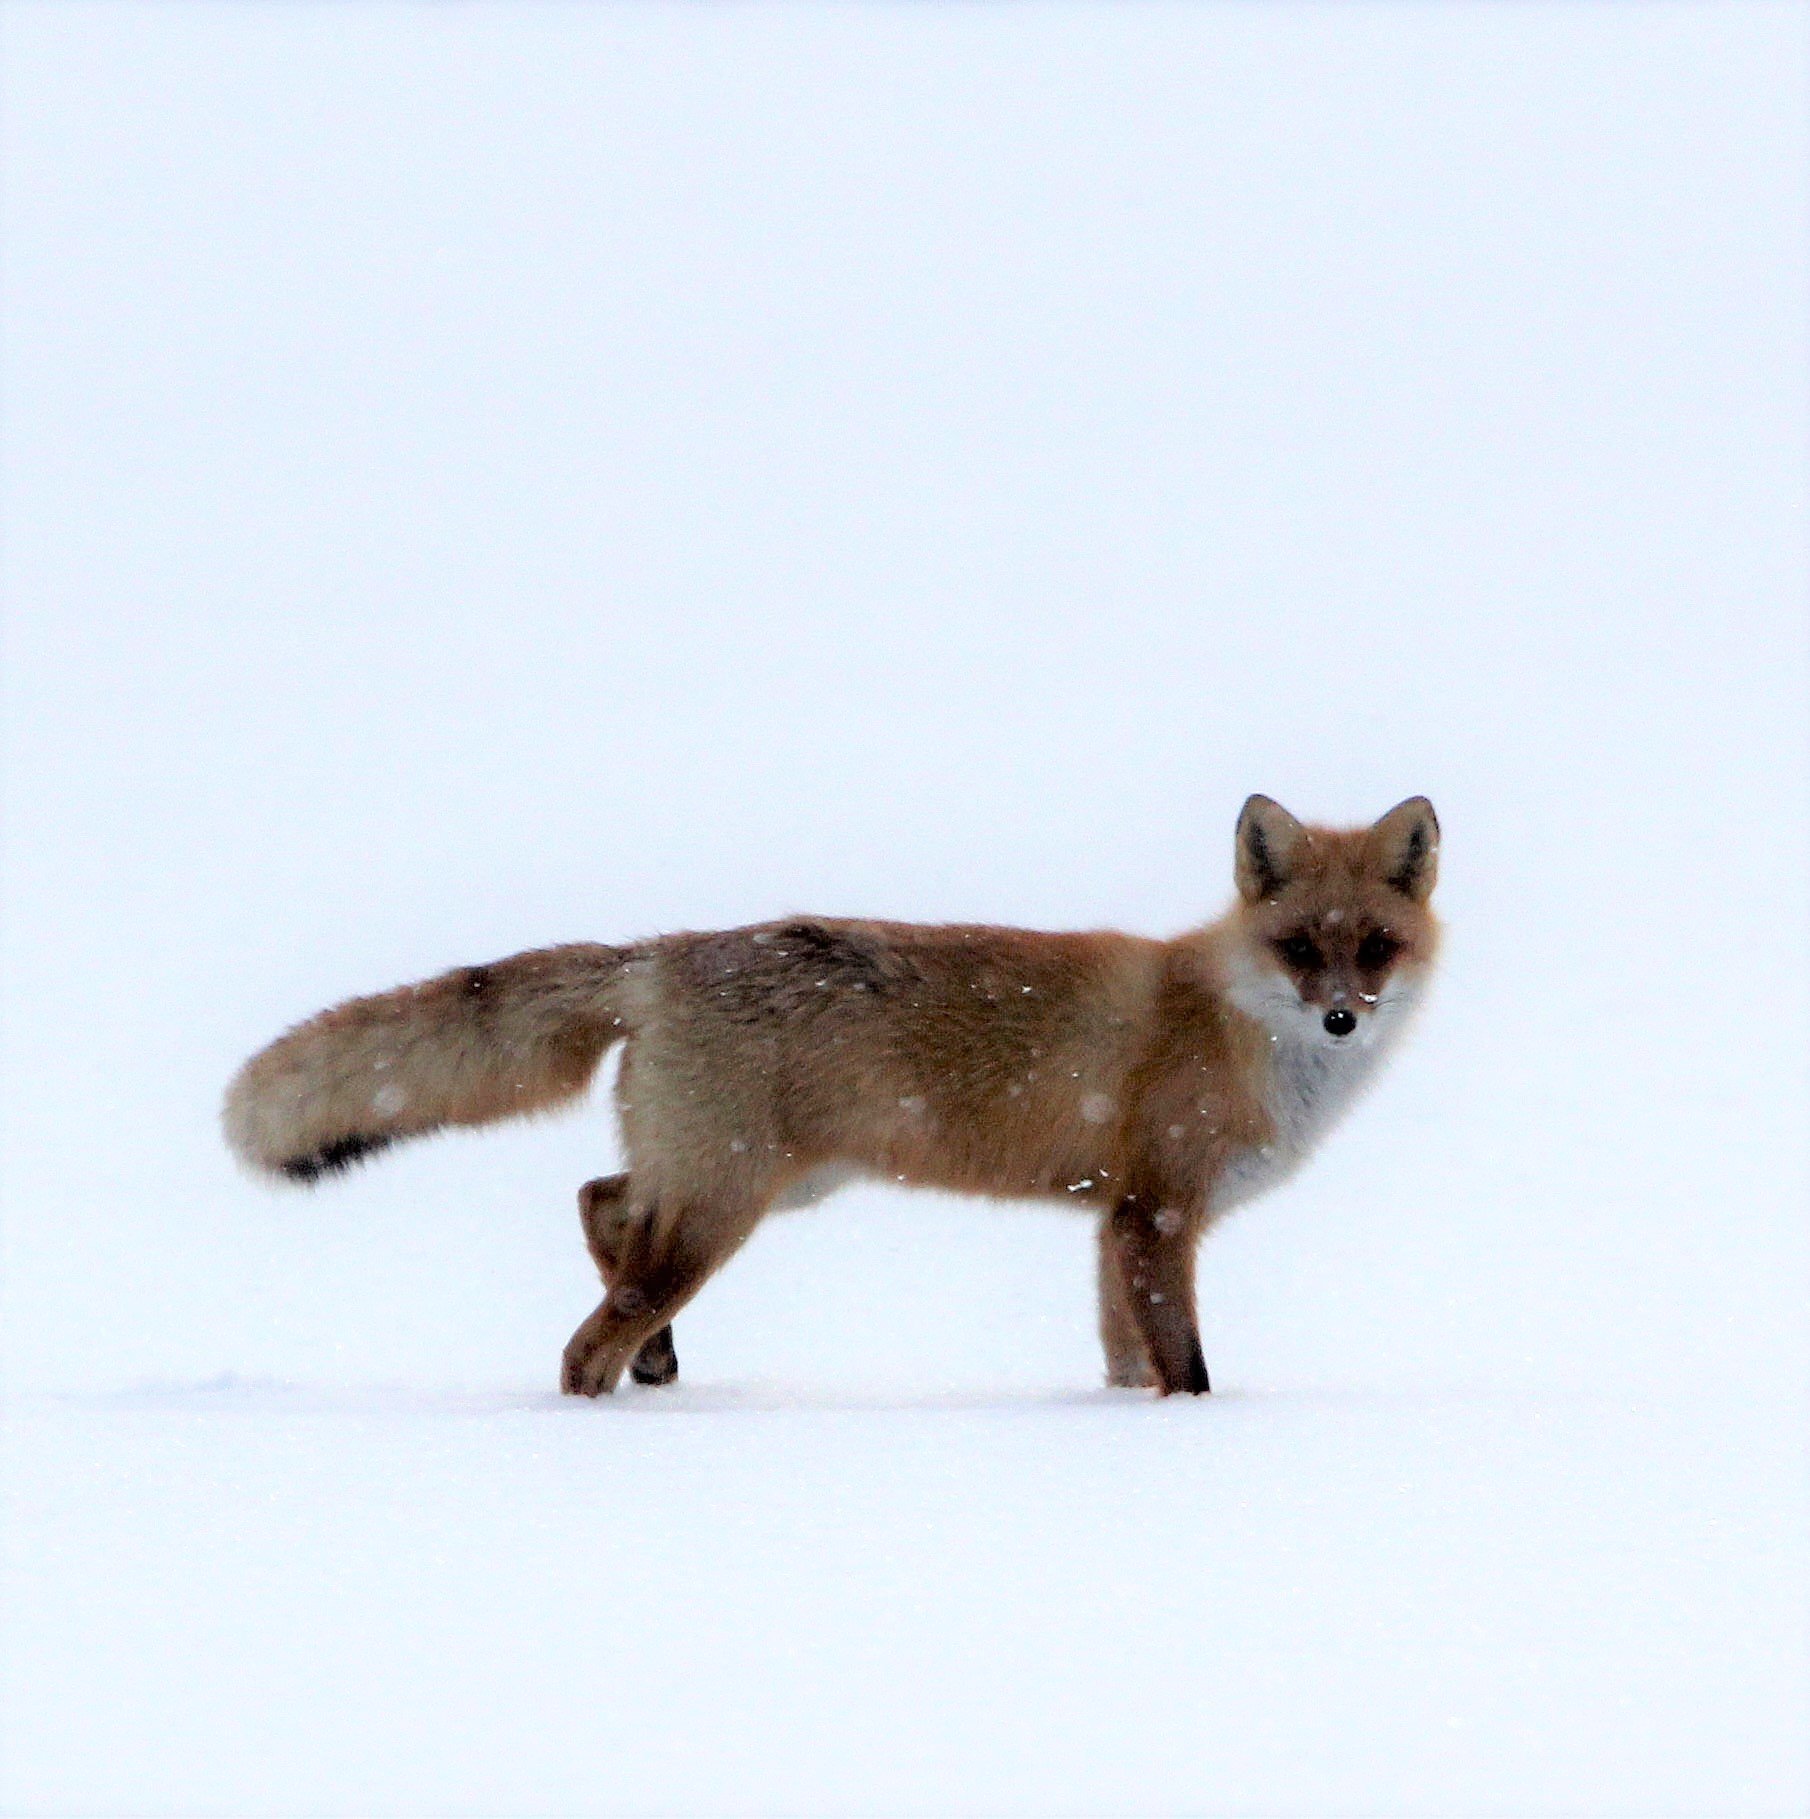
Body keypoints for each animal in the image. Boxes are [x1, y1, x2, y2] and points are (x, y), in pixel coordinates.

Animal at [223, 794, 1439, 1397]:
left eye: (1374, 948)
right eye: (1299, 949)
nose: (1342, 1019)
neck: (1235, 1028)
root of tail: (661, 954)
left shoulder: (1113, 1221)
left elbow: (1124, 1360)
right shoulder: (1156, 1214)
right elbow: (1186, 1370)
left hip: (751, 1182)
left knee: (599, 1200)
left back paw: (660, 1364)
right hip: (727, 1202)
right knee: (585, 1334)